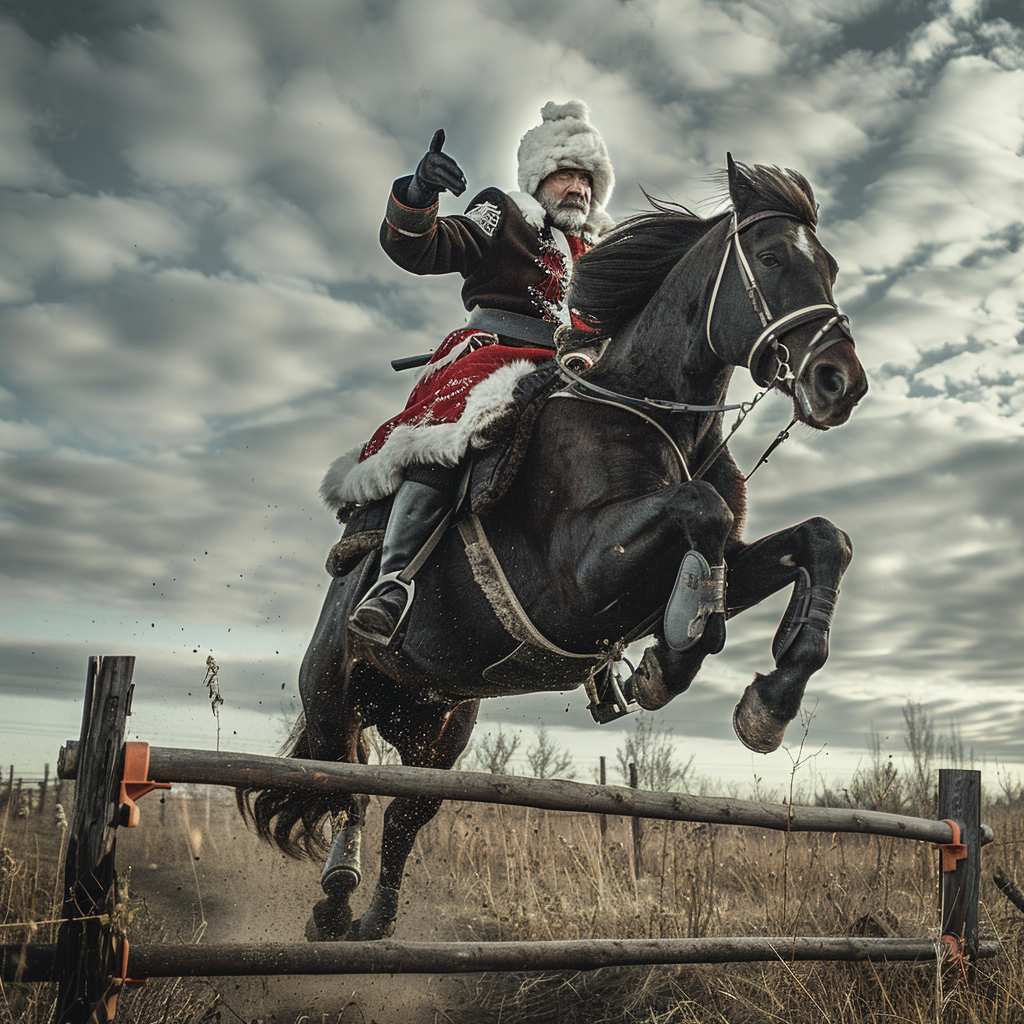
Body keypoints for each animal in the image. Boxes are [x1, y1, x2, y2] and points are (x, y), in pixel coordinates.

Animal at [237, 157, 864, 942]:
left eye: (831, 267)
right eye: (774, 258)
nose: (841, 381)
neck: (655, 414)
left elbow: (822, 539)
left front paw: (769, 699)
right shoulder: (579, 579)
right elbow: (703, 511)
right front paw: (673, 658)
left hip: (439, 722)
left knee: (402, 807)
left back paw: (372, 916)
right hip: (333, 693)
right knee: (342, 781)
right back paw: (335, 893)